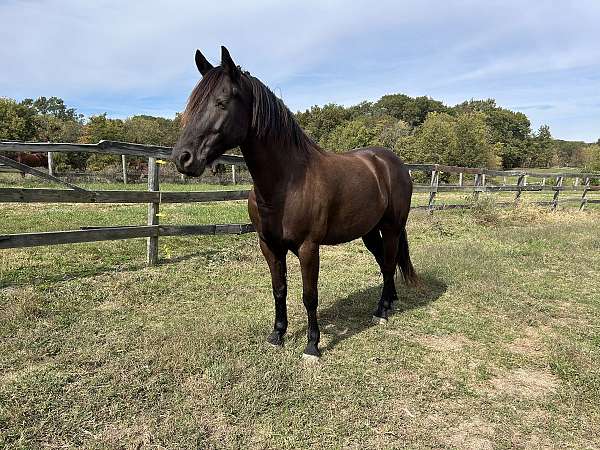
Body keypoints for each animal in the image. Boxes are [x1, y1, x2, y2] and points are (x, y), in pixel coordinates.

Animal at [172, 47, 418, 360]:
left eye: (222, 102)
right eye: (193, 105)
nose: (183, 158)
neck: (286, 184)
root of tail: (391, 162)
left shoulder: (308, 248)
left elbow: (309, 295)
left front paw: (312, 345)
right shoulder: (269, 246)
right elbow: (279, 289)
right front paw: (277, 334)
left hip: (392, 226)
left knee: (388, 263)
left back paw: (381, 311)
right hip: (370, 231)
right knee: (385, 262)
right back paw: (390, 301)